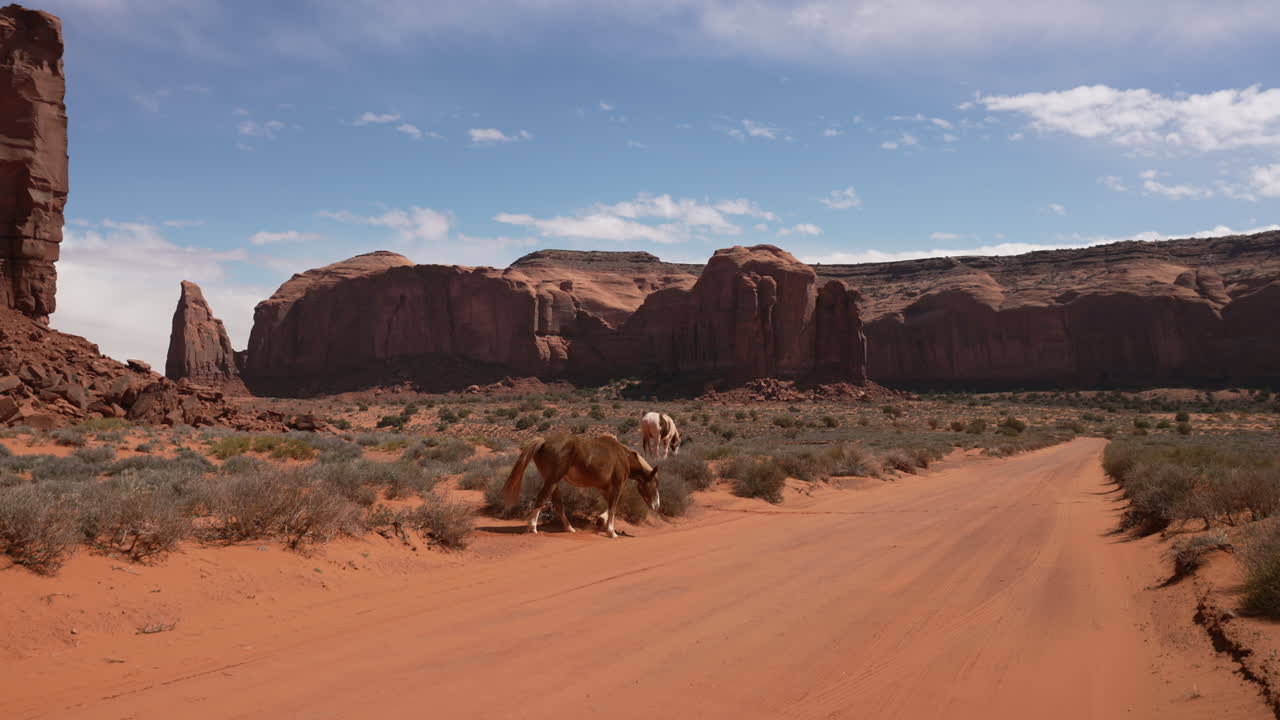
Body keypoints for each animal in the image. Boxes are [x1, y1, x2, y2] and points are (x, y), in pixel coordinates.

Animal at [503, 433, 660, 538]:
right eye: (655, 484)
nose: (656, 505)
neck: (623, 456)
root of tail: (544, 440)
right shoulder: (617, 485)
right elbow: (614, 507)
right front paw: (612, 532)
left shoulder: (604, 488)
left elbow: (614, 505)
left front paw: (601, 520)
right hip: (553, 480)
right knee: (542, 498)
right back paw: (533, 528)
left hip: (553, 481)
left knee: (557, 504)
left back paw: (570, 528)